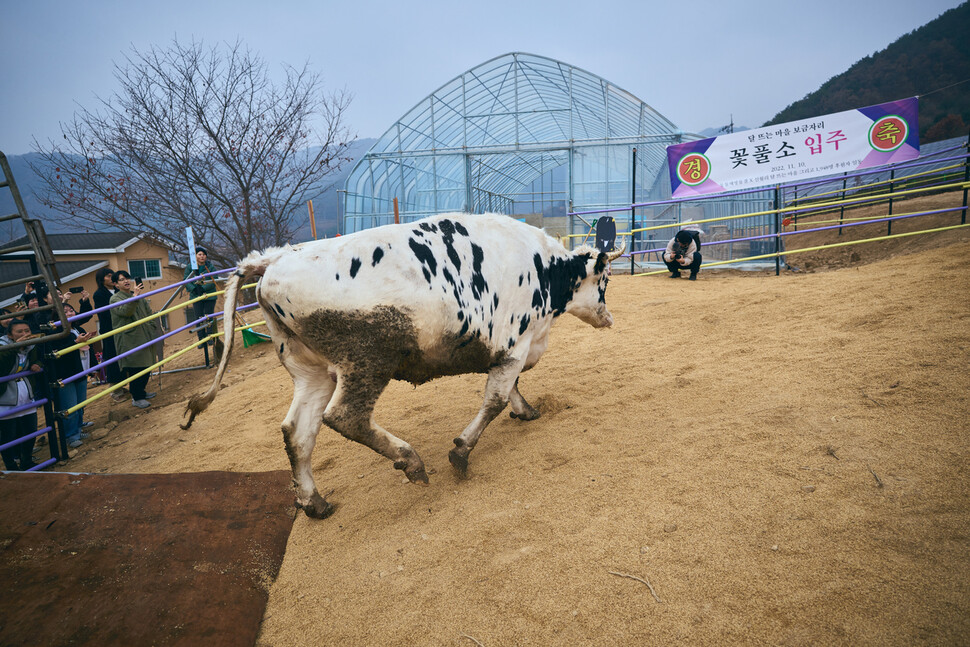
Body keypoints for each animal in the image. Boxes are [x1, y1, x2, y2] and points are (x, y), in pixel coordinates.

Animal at [181, 215, 620, 520]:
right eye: (605, 281)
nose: (609, 317)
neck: (543, 268)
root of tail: (275, 257)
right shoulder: (516, 345)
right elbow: (494, 398)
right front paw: (462, 450)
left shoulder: (506, 352)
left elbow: (506, 390)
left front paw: (524, 410)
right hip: (367, 361)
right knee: (346, 417)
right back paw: (410, 461)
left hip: (311, 371)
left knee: (297, 433)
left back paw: (313, 501)